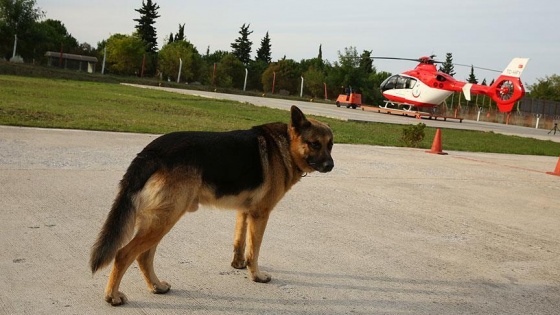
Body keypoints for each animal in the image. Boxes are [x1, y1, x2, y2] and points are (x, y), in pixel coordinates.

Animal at [87, 105, 332, 306]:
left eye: (330, 145)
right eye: (314, 144)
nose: (331, 166)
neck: (286, 145)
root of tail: (150, 151)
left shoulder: (244, 212)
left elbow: (240, 242)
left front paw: (238, 264)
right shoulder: (260, 214)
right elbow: (254, 250)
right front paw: (256, 276)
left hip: (159, 220)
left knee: (143, 256)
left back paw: (156, 286)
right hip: (165, 219)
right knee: (124, 254)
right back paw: (112, 296)